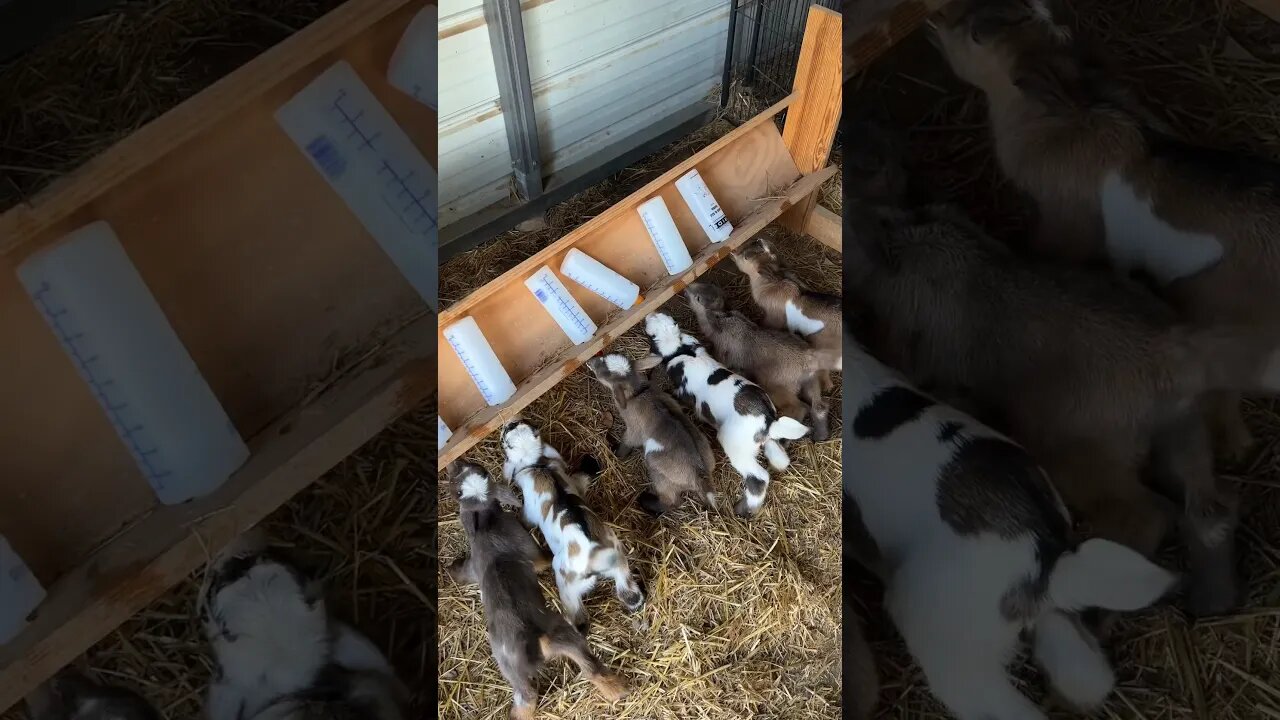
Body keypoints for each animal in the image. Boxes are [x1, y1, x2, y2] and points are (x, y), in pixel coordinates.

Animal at [450, 458, 629, 717]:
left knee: (527, 697)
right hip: (567, 638)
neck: (486, 526)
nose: (456, 462)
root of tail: (535, 641)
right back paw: (620, 691)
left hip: (512, 670)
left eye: (456, 488)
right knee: (592, 668)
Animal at [586, 351, 721, 509]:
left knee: (671, 501)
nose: (589, 361)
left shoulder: (634, 429)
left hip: (656, 466)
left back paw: (646, 501)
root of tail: (701, 474)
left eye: (603, 373)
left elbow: (627, 443)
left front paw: (615, 451)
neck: (637, 393)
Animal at [686, 283, 834, 440]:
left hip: (778, 389)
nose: (686, 290)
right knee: (819, 407)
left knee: (800, 408)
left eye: (696, 296)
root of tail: (808, 359)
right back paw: (821, 435)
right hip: (811, 382)